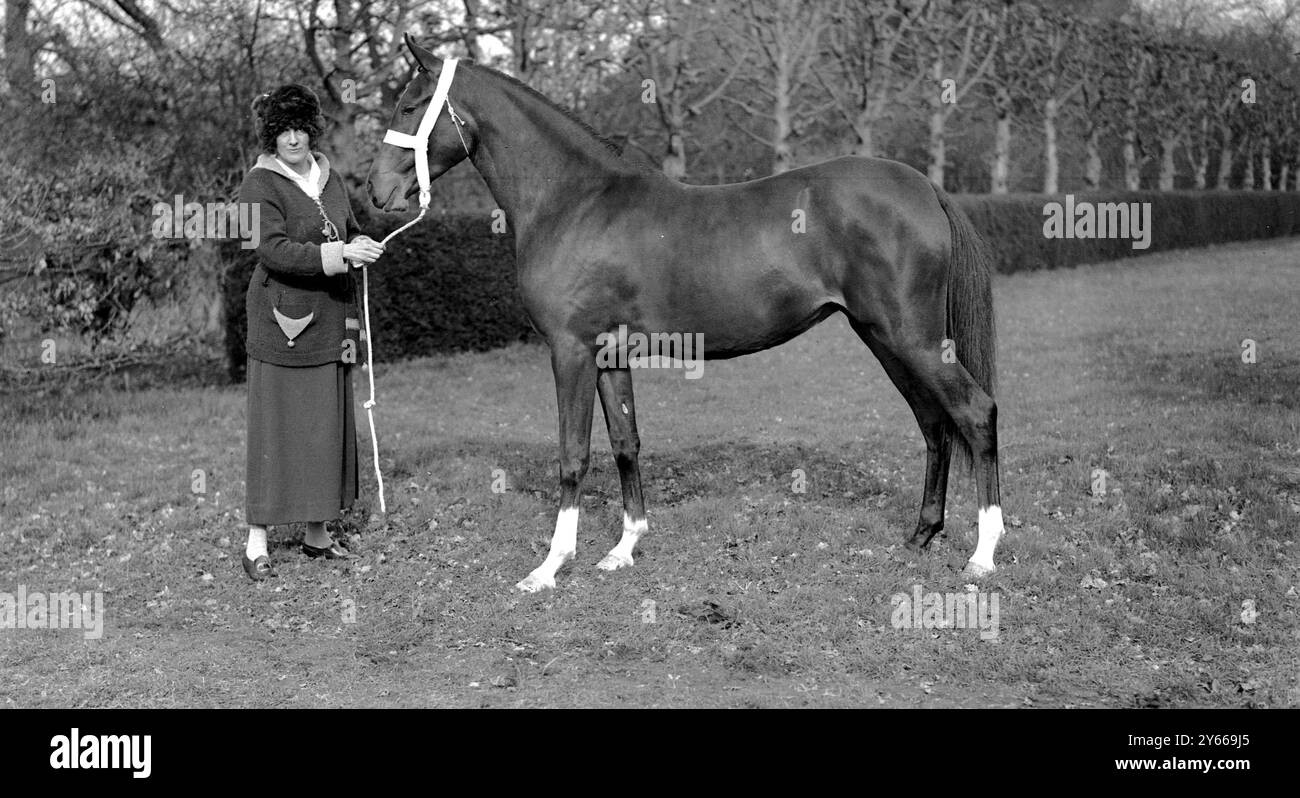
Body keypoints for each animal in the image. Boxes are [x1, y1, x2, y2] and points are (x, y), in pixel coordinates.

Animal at [367, 34, 1004, 593]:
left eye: (410, 104)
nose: (376, 192)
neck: (574, 202)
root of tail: (923, 187)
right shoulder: (608, 355)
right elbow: (625, 442)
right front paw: (623, 549)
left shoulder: (570, 351)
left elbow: (573, 455)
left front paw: (548, 569)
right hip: (884, 338)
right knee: (935, 424)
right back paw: (921, 535)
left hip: (911, 339)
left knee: (975, 414)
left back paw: (982, 556)